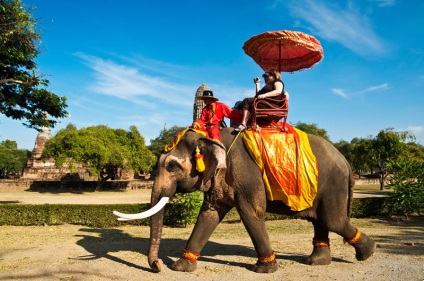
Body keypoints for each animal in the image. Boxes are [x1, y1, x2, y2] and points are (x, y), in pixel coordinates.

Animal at [114, 128, 376, 272]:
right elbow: (209, 214)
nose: (157, 266)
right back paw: (316, 261)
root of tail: (347, 161)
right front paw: (181, 267)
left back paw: (367, 253)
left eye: (172, 166)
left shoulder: (246, 172)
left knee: (332, 220)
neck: (212, 137)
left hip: (333, 185)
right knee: (320, 220)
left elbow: (251, 213)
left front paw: (264, 269)